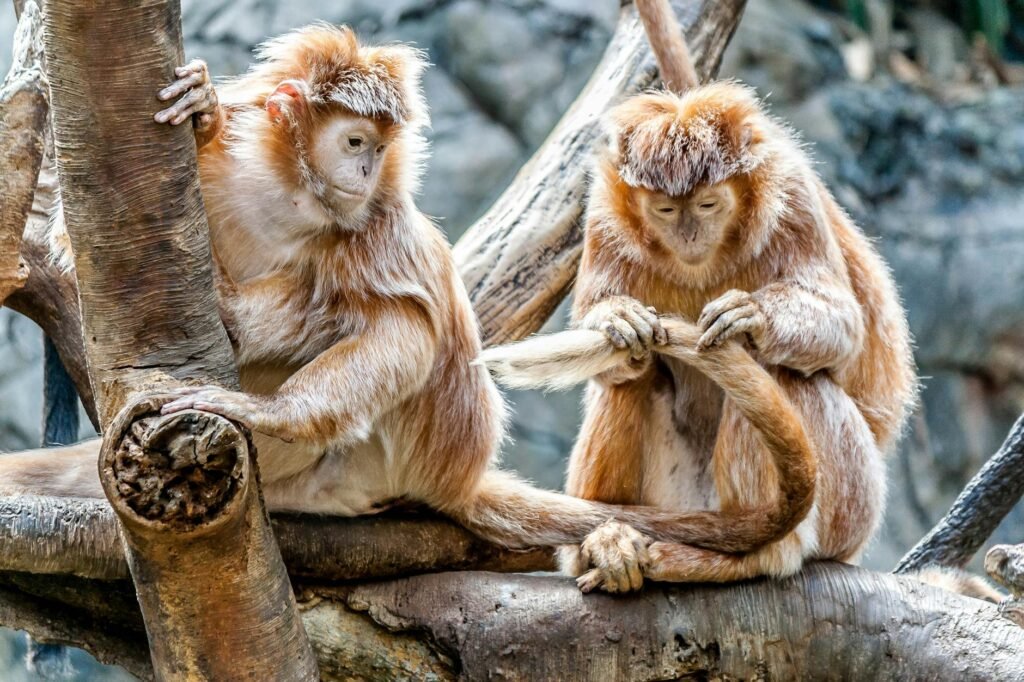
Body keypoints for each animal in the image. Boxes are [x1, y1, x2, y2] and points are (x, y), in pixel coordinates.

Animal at [481, 80, 918, 591]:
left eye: (709, 204)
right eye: (666, 210)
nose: (689, 234)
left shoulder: (792, 196)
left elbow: (845, 329)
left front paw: (754, 316)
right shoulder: (603, 214)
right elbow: (611, 351)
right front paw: (616, 320)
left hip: (853, 505)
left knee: (786, 374)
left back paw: (760, 552)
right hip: (675, 499)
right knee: (633, 379)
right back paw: (605, 541)